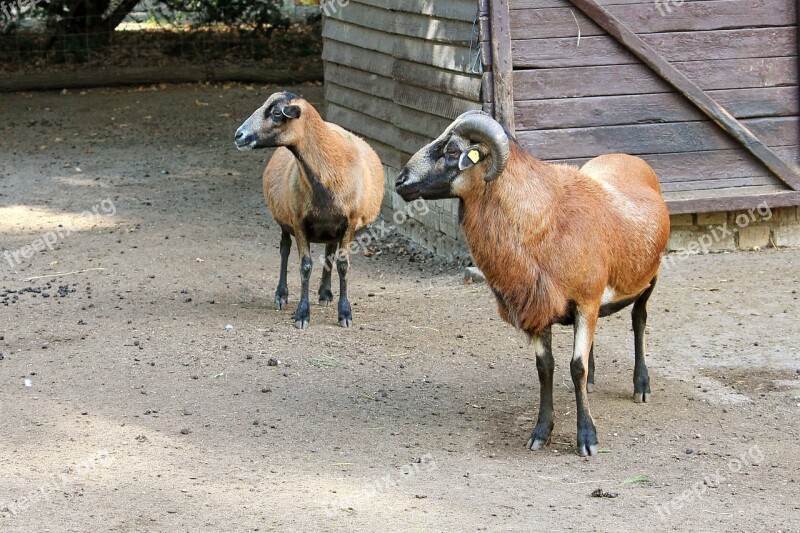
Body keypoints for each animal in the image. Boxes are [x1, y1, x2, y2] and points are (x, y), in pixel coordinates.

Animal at [234, 93, 384, 330]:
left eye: (276, 112)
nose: (238, 135)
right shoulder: (298, 221)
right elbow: (305, 266)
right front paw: (302, 314)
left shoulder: (349, 222)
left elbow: (342, 265)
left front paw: (345, 313)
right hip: (284, 220)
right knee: (284, 249)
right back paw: (281, 295)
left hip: (332, 228)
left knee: (330, 251)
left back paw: (325, 293)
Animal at [396, 110, 672, 456]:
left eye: (451, 150)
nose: (400, 181)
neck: (544, 221)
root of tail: (628, 158)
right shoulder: (539, 307)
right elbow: (546, 368)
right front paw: (540, 433)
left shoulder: (585, 301)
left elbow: (576, 366)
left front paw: (587, 438)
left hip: (650, 278)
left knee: (639, 320)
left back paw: (641, 385)